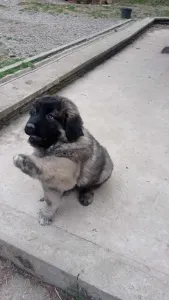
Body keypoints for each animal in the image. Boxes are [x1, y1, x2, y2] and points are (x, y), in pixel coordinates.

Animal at [13, 95, 113, 225]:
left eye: (50, 116)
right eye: (33, 113)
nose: (28, 127)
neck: (58, 144)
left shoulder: (68, 168)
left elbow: (51, 163)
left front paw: (27, 162)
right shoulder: (51, 184)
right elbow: (50, 200)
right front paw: (47, 214)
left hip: (105, 169)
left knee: (92, 185)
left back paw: (86, 194)